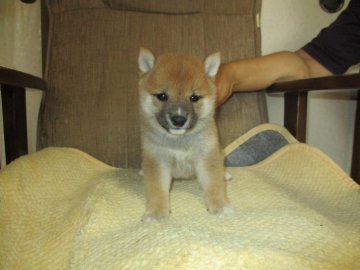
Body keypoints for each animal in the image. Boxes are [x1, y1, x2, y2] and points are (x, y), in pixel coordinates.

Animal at [136, 48, 232, 221]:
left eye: (194, 97)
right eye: (162, 96)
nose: (178, 119)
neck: (179, 141)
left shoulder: (207, 156)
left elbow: (214, 184)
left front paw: (220, 205)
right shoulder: (157, 160)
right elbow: (156, 189)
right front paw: (156, 212)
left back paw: (225, 174)